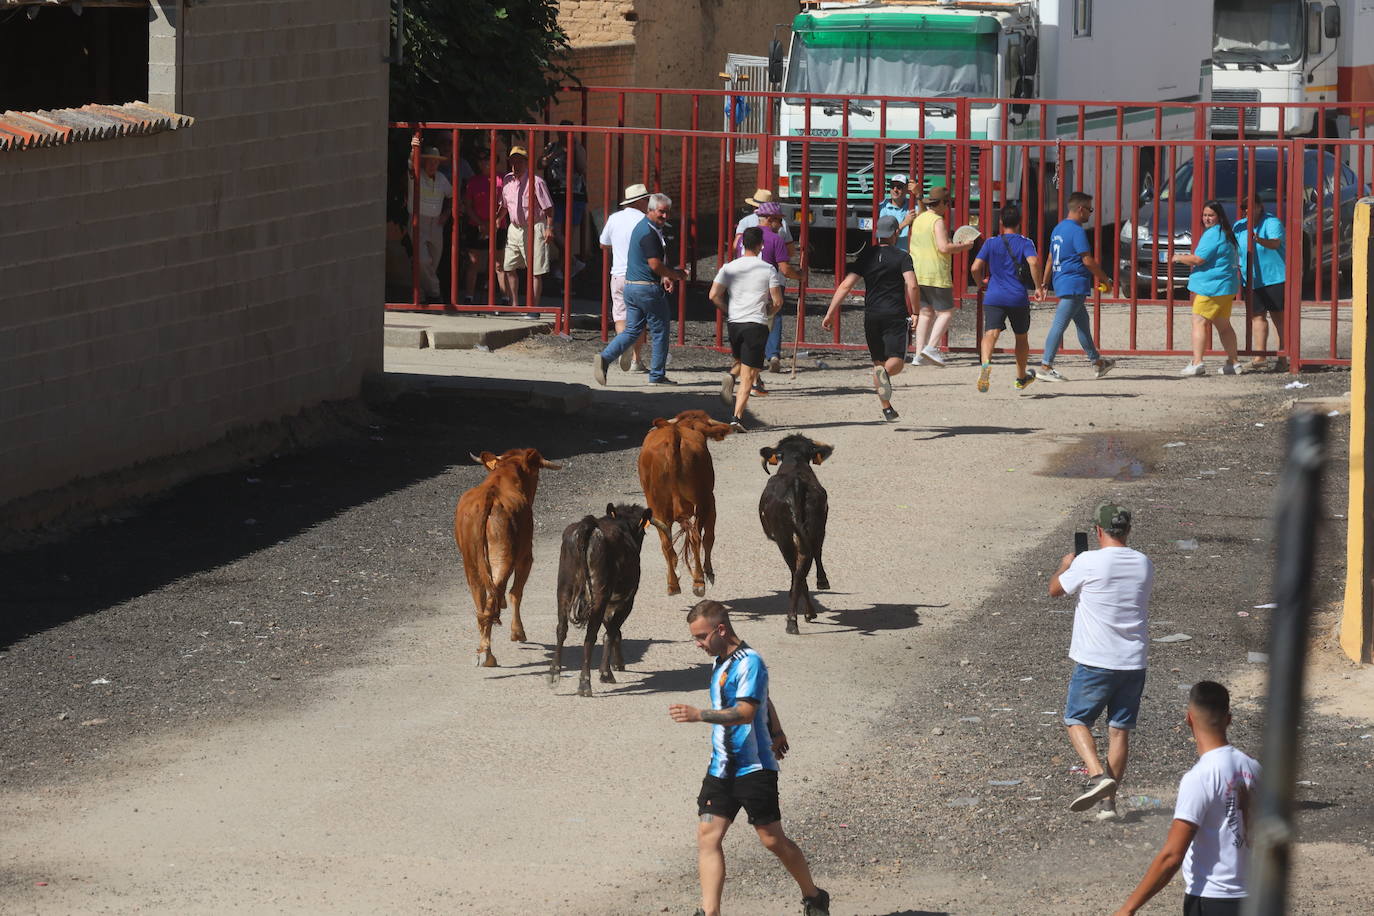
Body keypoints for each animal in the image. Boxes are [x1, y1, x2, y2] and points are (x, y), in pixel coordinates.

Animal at [450, 450, 557, 667]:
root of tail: (489, 498)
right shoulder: (526, 556)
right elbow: (516, 593)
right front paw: (518, 633)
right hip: (504, 557)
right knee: (496, 597)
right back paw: (488, 655)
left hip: (471, 562)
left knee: (481, 603)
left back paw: (483, 649)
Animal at [546, 502, 654, 694]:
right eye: (642, 532)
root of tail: (589, 525)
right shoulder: (627, 600)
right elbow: (611, 632)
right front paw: (606, 672)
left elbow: (612, 630)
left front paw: (616, 664)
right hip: (599, 592)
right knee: (590, 636)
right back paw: (584, 684)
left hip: (564, 588)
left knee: (561, 628)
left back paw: (554, 674)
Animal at [637, 409, 736, 598]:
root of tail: (674, 435)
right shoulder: (711, 501)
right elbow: (709, 537)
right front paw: (708, 570)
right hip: (703, 500)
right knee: (697, 537)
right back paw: (699, 581)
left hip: (657, 506)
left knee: (666, 542)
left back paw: (673, 584)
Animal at [758, 433, 829, 634]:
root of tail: (796, 485)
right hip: (814, 527)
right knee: (805, 563)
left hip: (785, 537)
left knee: (798, 570)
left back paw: (796, 619)